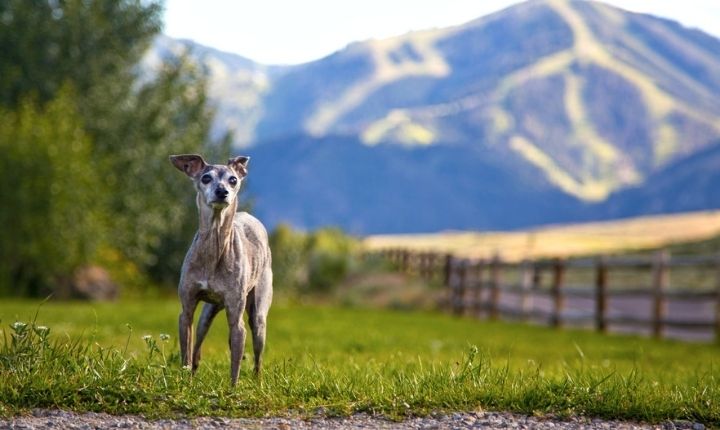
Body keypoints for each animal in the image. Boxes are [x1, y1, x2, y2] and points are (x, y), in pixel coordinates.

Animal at [169, 153, 272, 384]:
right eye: (206, 178)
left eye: (233, 180)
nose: (222, 191)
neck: (213, 250)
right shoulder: (186, 311)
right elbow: (186, 353)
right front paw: (185, 381)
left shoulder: (236, 320)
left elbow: (235, 366)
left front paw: (233, 388)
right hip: (207, 314)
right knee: (197, 346)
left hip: (258, 315)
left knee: (258, 356)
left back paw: (258, 381)